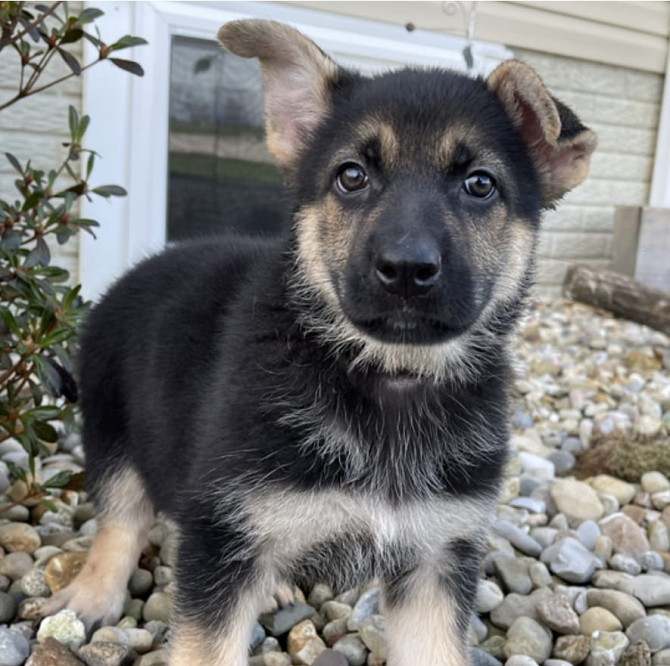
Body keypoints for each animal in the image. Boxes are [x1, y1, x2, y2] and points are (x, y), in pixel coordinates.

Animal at [42, 18, 600, 664]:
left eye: (479, 184)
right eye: (351, 176)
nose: (405, 269)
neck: (387, 375)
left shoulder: (436, 555)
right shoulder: (224, 532)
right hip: (115, 428)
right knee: (121, 518)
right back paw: (93, 595)